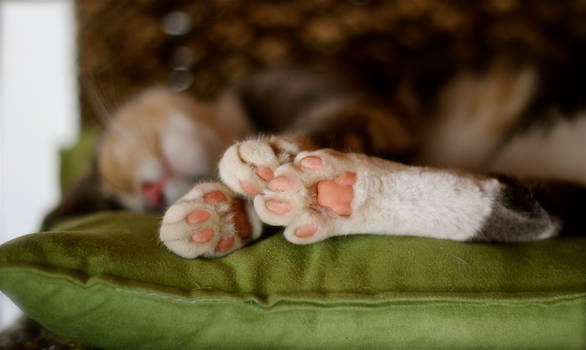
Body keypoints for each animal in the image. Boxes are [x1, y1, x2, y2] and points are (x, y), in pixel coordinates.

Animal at [45, 65, 584, 258]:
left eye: (111, 148)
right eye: (122, 205)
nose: (148, 192)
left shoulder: (356, 100)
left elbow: (330, 121)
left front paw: (275, 154)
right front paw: (219, 217)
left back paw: (332, 188)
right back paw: (330, 197)